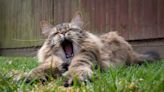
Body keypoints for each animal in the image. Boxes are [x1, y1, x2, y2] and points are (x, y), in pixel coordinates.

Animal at [23, 11, 160, 86]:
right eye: (56, 33)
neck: (67, 62)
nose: (63, 33)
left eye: (70, 29)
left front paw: (74, 77)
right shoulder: (52, 60)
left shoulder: (85, 56)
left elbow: (77, 66)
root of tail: (131, 51)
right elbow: (42, 67)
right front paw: (29, 76)